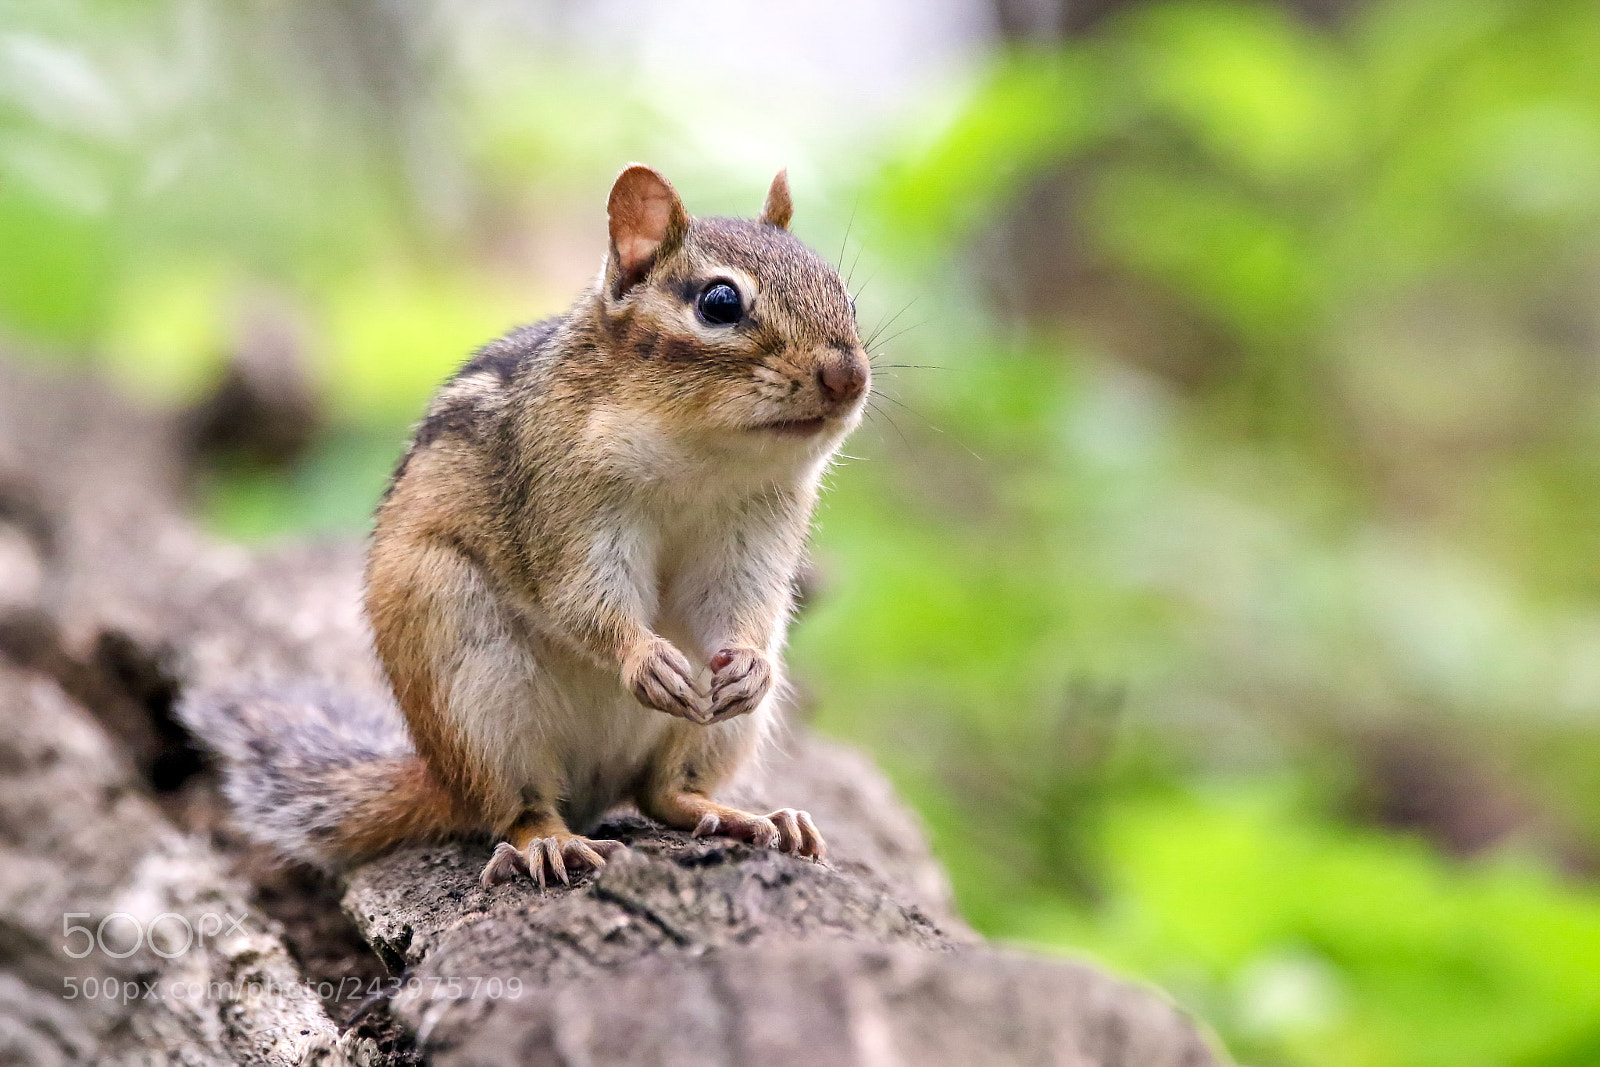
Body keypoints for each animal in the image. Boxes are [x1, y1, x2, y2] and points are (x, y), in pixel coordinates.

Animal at [181, 164, 870, 889]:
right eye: (719, 302)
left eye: (844, 294)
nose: (848, 375)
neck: (705, 457)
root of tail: (441, 777)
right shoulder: (561, 506)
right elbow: (577, 598)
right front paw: (642, 656)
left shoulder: (756, 532)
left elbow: (745, 605)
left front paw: (749, 665)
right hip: (473, 681)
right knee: (518, 806)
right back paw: (551, 841)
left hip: (716, 732)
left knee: (665, 792)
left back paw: (746, 815)